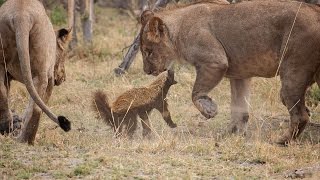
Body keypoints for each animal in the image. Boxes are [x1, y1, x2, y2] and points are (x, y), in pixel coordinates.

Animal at [0, 0, 71, 143]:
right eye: (65, 54)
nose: (64, 77)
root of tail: (21, 15)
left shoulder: (7, 75)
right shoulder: (50, 77)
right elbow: (43, 102)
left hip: (0, 62)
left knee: (2, 93)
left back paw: (7, 128)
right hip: (41, 71)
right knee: (35, 107)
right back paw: (26, 140)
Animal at [139, 0, 320, 145]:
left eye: (148, 52)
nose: (147, 71)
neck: (178, 31)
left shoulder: (215, 62)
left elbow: (195, 93)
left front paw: (209, 110)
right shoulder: (240, 75)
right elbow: (239, 109)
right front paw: (232, 133)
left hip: (293, 71)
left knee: (301, 114)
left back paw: (282, 140)